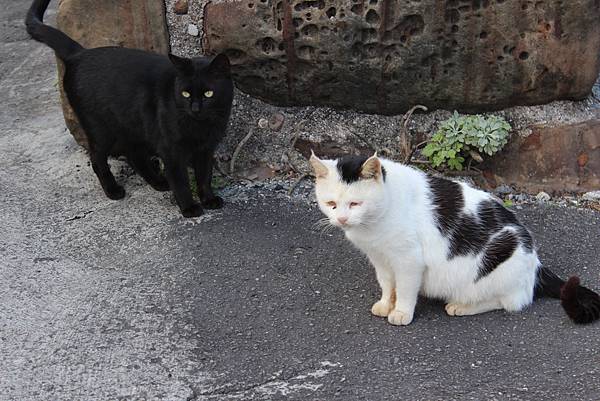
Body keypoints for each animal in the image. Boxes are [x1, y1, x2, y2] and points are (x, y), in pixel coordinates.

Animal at [25, 0, 232, 217]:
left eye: (208, 93)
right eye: (185, 94)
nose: (195, 107)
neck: (200, 126)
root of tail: (79, 53)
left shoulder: (206, 149)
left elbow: (204, 176)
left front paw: (209, 199)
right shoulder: (171, 151)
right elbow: (181, 181)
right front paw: (189, 208)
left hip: (133, 125)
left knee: (134, 155)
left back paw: (159, 182)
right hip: (101, 130)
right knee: (98, 159)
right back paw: (113, 190)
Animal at [312, 152, 596, 324]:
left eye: (355, 203)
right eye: (331, 204)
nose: (342, 219)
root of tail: (536, 264)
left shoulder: (409, 260)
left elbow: (405, 288)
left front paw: (401, 312)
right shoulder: (380, 259)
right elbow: (387, 284)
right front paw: (385, 304)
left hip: (502, 257)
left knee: (509, 301)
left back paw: (460, 306)